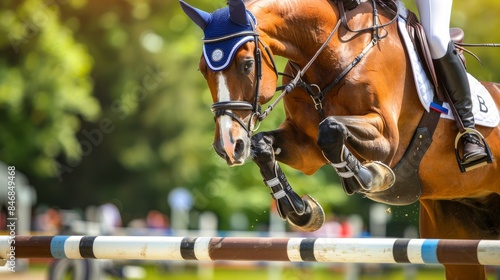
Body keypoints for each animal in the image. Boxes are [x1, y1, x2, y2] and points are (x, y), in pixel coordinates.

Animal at [180, 0, 500, 278]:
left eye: (247, 64)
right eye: (203, 69)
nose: (228, 146)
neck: (332, 53)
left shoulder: (388, 138)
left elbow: (331, 128)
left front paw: (371, 177)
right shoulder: (305, 149)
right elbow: (264, 146)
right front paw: (301, 210)